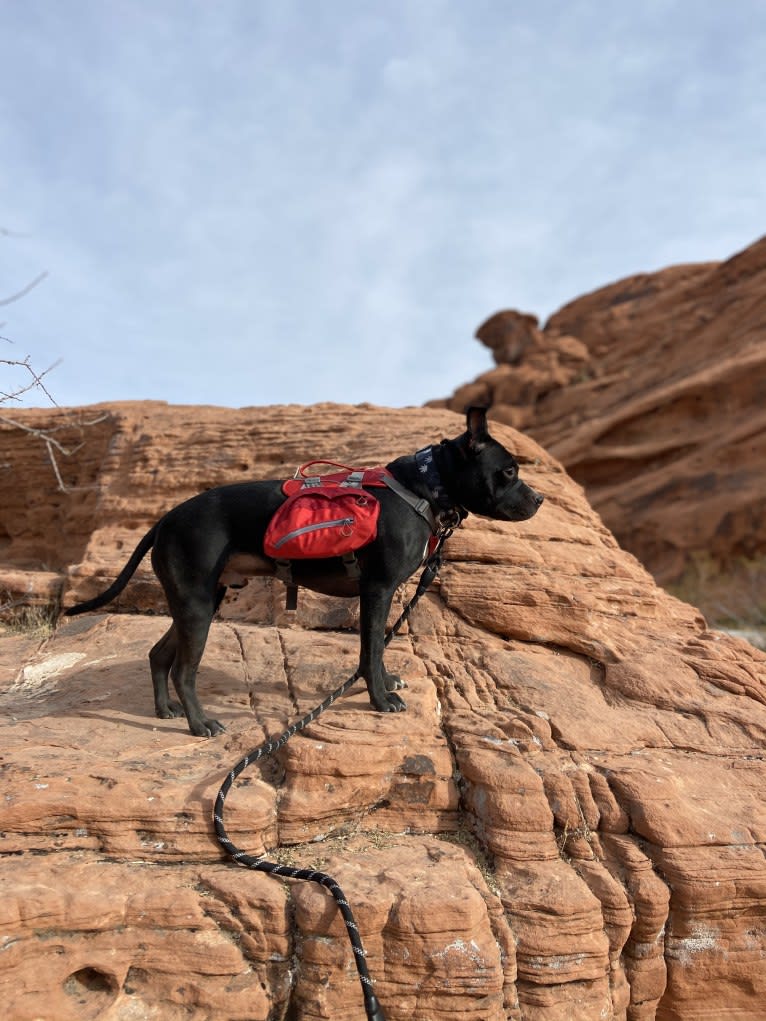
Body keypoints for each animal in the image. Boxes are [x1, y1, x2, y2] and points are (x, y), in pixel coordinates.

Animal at [67, 410, 547, 739]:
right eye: (509, 470)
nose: (540, 499)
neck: (423, 487)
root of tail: (164, 520)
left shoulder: (380, 596)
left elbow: (376, 648)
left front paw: (385, 682)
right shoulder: (377, 591)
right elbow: (370, 651)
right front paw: (380, 699)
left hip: (196, 604)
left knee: (158, 655)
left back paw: (166, 710)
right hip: (197, 607)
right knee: (184, 670)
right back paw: (200, 723)